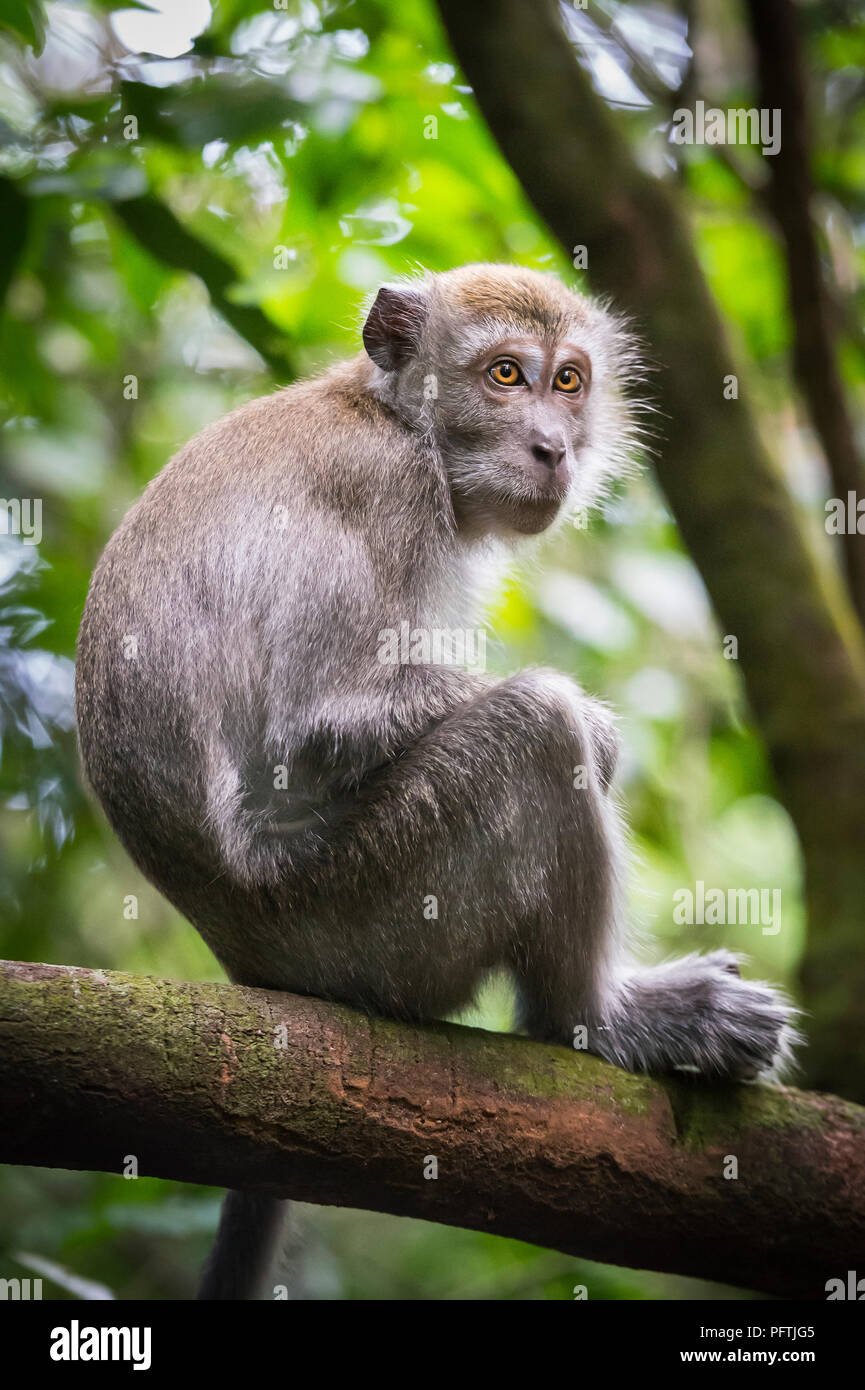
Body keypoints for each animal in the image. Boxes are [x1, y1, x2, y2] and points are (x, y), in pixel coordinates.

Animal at [74, 263, 797, 1299]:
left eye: (568, 381)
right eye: (504, 374)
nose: (552, 448)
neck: (397, 420)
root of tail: (246, 959)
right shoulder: (385, 495)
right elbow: (318, 721)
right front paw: (604, 734)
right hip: (369, 917)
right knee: (536, 730)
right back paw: (598, 1021)